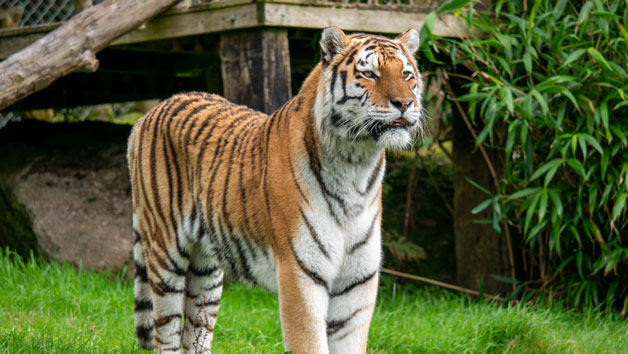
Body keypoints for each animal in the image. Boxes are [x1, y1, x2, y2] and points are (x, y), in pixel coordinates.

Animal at [125, 26, 424, 352]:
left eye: (407, 75)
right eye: (369, 74)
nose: (405, 103)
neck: (356, 165)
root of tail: (148, 114)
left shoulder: (357, 281)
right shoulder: (300, 273)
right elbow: (309, 341)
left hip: (206, 270)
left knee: (195, 332)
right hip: (165, 254)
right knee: (165, 333)